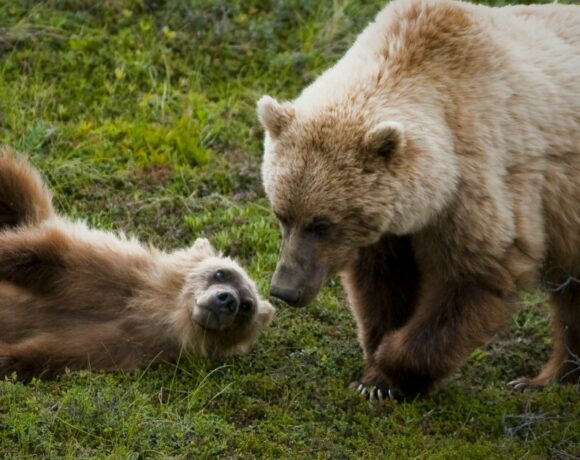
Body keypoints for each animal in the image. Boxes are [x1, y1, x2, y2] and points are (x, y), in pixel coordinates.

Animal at [0, 151, 276, 380]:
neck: (152, 309)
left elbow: (39, 354)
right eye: (222, 272)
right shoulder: (104, 272)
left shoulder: (116, 345)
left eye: (247, 306)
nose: (228, 300)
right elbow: (39, 255)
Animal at [258, 0, 580, 398]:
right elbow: (383, 283)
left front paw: (389, 372)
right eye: (281, 214)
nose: (284, 289)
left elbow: (473, 279)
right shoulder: (389, 225)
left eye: (322, 224)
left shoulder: (477, 187)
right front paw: (375, 372)